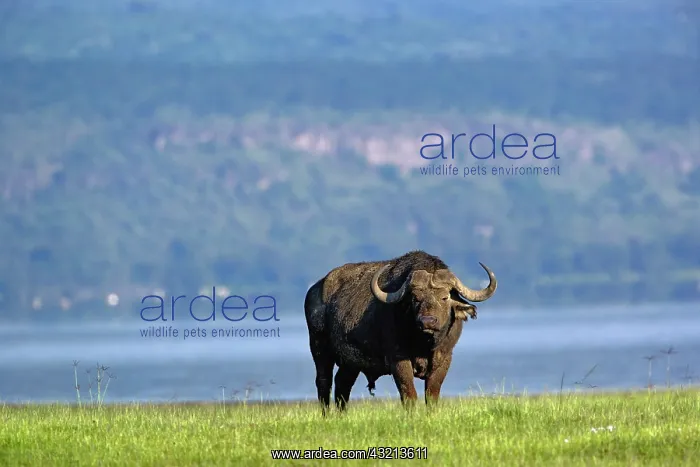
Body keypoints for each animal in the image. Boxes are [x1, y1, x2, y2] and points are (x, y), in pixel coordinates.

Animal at [304, 250, 497, 413]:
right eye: (415, 298)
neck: (423, 344)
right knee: (324, 382)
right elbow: (409, 394)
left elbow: (432, 395)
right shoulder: (398, 361)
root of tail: (314, 290)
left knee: (342, 384)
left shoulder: (444, 359)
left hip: (351, 362)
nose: (427, 321)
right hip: (319, 347)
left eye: (445, 297)